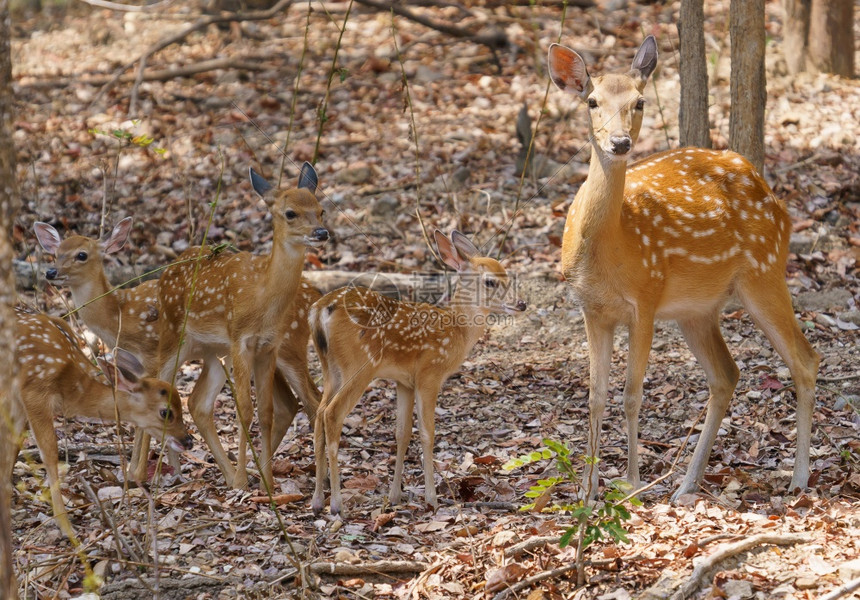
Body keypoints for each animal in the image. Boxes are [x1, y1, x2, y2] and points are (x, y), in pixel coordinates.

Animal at [8, 304, 191, 540]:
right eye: (166, 412)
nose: (188, 441)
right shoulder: (33, 393)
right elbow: (49, 452)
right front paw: (66, 526)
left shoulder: (19, 402)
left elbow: (12, 447)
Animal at [32, 220, 322, 482]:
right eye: (55, 253)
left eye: (81, 254)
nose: (51, 272)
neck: (119, 317)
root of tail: (315, 294)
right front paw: (169, 469)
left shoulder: (152, 354)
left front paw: (138, 474)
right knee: (284, 403)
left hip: (287, 345)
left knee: (313, 398)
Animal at [156, 162, 328, 490]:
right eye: (290, 213)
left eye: (321, 209)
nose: (321, 232)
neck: (261, 296)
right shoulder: (240, 340)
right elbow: (245, 411)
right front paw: (242, 481)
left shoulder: (268, 346)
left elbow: (266, 412)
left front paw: (265, 482)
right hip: (176, 340)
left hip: (219, 351)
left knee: (197, 401)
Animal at [310, 230, 524, 516]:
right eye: (490, 281)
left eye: (508, 276)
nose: (521, 303)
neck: (456, 332)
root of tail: (321, 309)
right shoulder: (429, 374)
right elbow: (427, 433)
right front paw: (432, 498)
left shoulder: (405, 382)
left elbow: (402, 433)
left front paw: (395, 496)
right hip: (359, 365)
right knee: (332, 414)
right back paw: (336, 504)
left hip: (330, 367)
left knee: (319, 414)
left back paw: (316, 501)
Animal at [548, 35, 824, 500]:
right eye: (591, 101)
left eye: (639, 101)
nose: (619, 143)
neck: (612, 247)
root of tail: (774, 196)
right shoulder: (591, 309)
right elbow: (595, 396)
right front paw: (586, 491)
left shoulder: (645, 299)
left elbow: (632, 394)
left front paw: (631, 484)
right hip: (697, 309)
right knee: (726, 374)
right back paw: (686, 485)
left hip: (764, 272)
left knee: (806, 359)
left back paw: (799, 477)